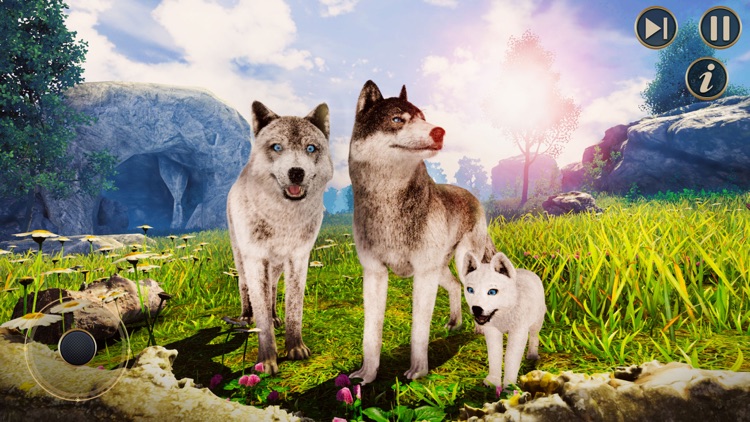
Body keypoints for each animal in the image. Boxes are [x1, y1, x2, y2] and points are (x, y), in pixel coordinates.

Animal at [227, 101, 333, 374]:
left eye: (310, 148)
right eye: (277, 147)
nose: (296, 172)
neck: (283, 218)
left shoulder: (299, 258)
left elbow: (294, 308)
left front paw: (295, 348)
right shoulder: (256, 259)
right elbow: (261, 314)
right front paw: (266, 360)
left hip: (275, 266)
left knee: (273, 289)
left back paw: (276, 316)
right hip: (242, 259)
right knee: (245, 286)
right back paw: (246, 316)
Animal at [348, 80, 495, 384]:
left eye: (423, 117)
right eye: (397, 119)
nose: (439, 131)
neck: (388, 203)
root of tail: (473, 197)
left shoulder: (423, 276)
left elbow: (419, 330)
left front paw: (417, 371)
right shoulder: (375, 274)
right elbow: (370, 332)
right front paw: (367, 374)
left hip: (462, 264)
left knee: (473, 289)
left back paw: (478, 328)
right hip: (439, 270)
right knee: (455, 286)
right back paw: (454, 322)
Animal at [460, 251, 546, 388]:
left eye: (492, 291)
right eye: (470, 290)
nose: (476, 309)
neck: (503, 315)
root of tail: (526, 270)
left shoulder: (518, 332)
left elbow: (511, 358)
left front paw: (509, 386)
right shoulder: (492, 331)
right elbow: (495, 354)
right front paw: (492, 381)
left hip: (537, 320)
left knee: (534, 336)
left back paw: (532, 356)